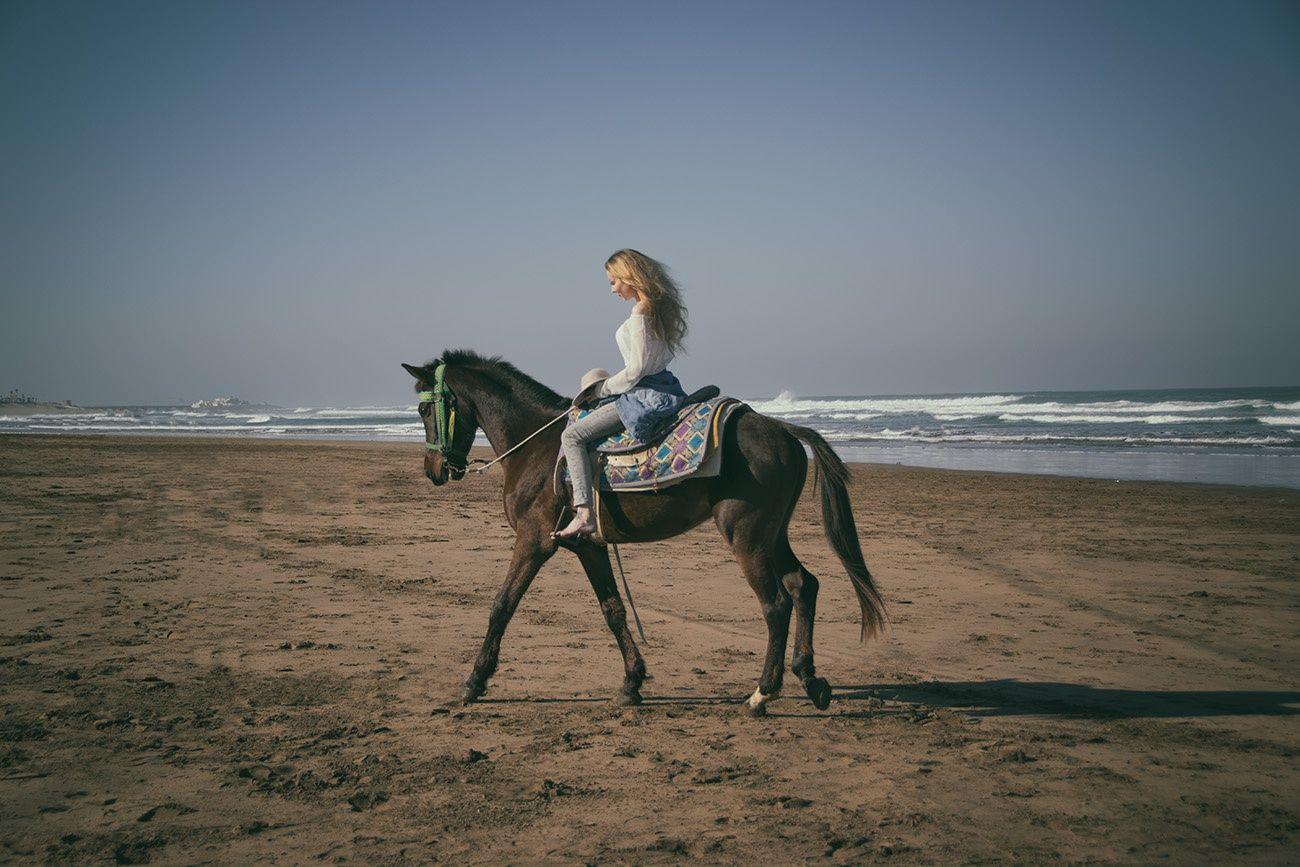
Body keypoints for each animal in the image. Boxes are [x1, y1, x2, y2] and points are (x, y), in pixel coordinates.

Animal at [400, 348, 889, 717]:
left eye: (424, 408)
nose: (434, 470)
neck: (536, 448)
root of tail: (782, 428)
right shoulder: (587, 547)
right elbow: (613, 611)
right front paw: (632, 682)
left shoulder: (534, 542)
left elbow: (502, 606)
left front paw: (474, 681)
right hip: (773, 535)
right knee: (804, 585)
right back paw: (810, 679)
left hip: (746, 536)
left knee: (776, 603)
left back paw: (762, 694)